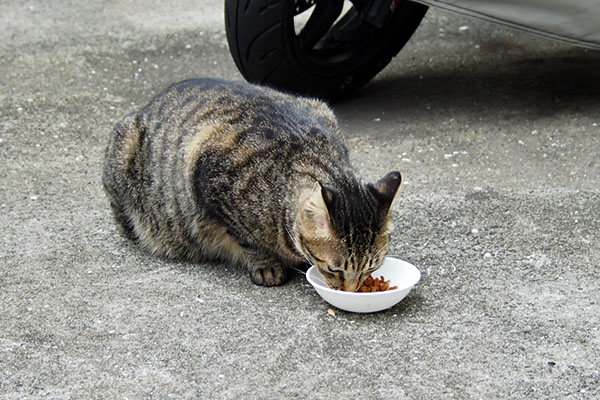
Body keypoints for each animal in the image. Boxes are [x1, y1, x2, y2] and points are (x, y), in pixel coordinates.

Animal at [102, 78, 400, 290]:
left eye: (370, 269)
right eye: (335, 270)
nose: (351, 290)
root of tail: (150, 103)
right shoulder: (208, 179)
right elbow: (246, 238)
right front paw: (266, 264)